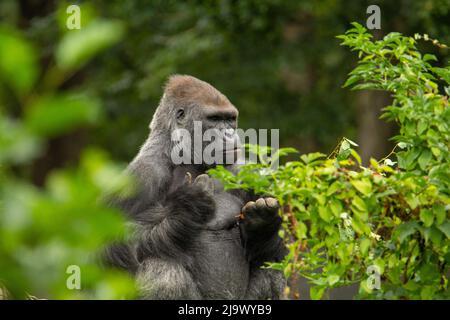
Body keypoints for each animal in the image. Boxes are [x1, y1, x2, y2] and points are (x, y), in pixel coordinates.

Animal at [106, 75, 284, 300]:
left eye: (230, 119)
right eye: (214, 119)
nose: (230, 133)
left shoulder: (246, 171)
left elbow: (283, 250)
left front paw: (262, 224)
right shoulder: (143, 173)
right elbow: (107, 249)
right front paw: (189, 209)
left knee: (271, 267)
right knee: (162, 270)